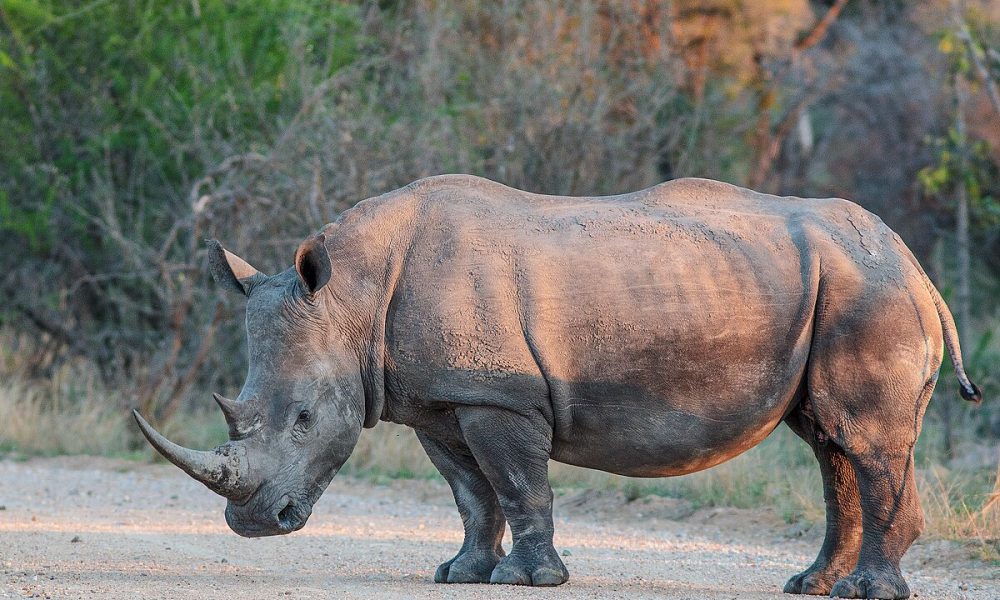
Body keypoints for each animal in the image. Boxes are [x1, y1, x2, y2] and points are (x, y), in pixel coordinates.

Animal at [134, 175, 981, 599]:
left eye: (306, 418)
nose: (255, 524)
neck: (351, 299)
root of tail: (915, 265)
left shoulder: (498, 397)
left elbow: (517, 484)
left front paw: (529, 580)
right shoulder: (439, 402)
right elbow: (471, 495)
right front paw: (460, 575)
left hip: (868, 292)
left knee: (862, 442)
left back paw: (866, 592)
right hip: (837, 286)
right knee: (829, 442)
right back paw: (808, 585)